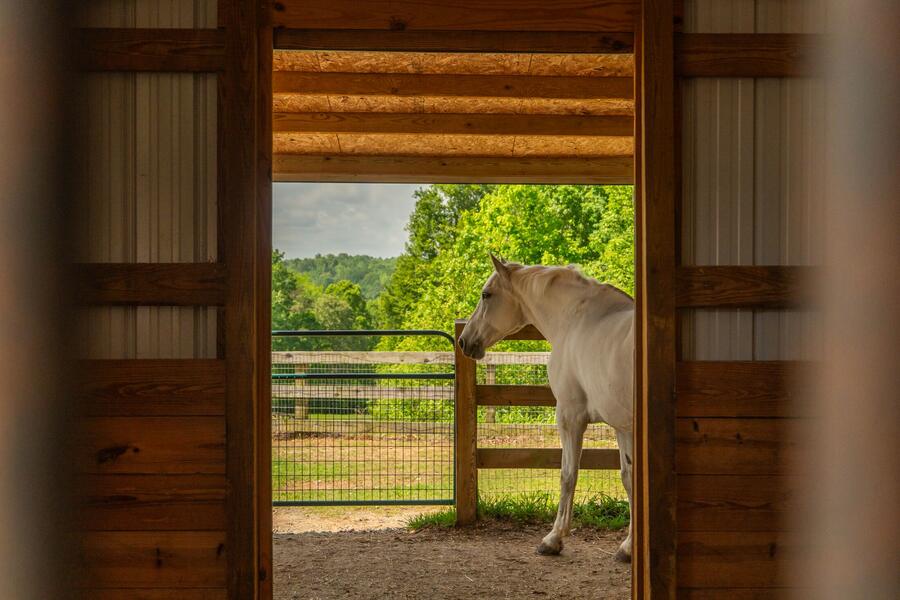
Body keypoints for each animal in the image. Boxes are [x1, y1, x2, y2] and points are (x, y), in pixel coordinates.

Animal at [458, 255, 634, 561]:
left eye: (486, 294)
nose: (464, 341)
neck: (576, 321)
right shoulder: (621, 424)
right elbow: (629, 479)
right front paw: (628, 547)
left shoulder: (570, 416)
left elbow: (568, 475)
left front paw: (553, 539)